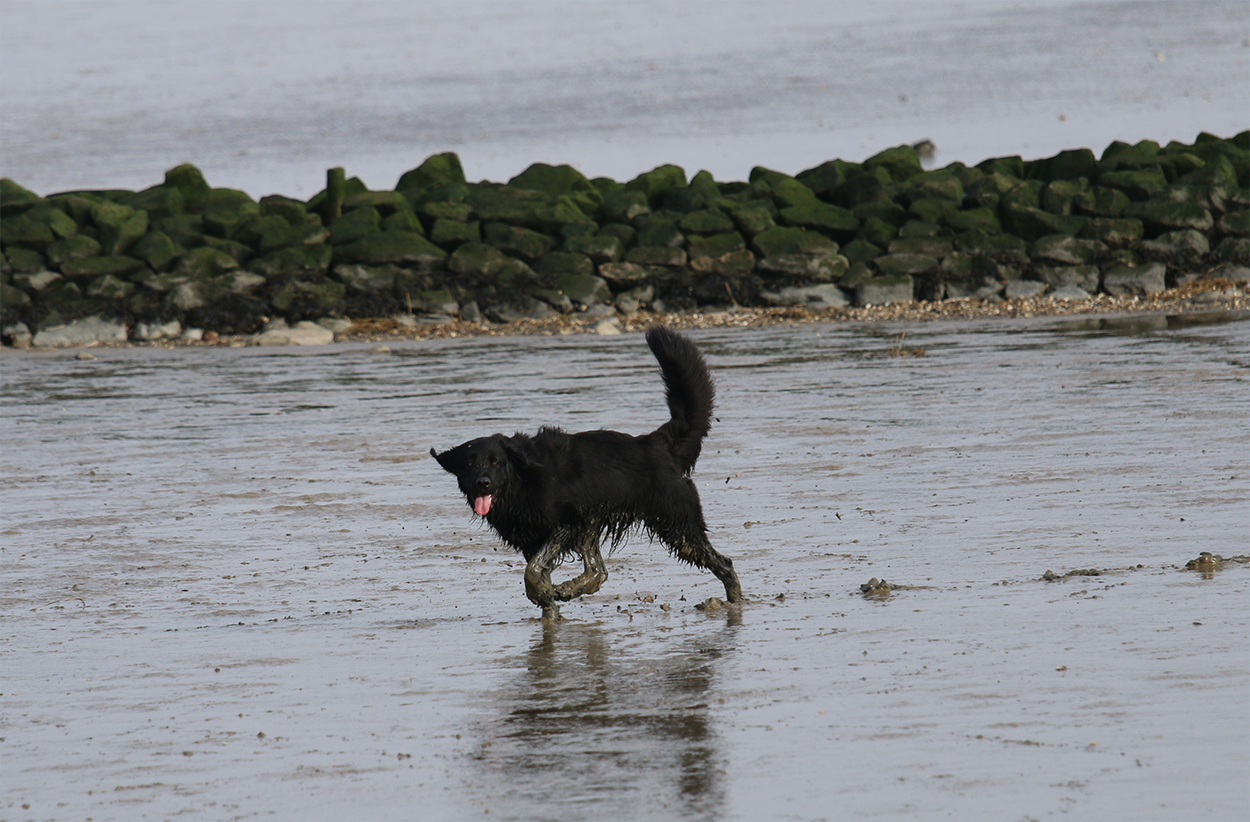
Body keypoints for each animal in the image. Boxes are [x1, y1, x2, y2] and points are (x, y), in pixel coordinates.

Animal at [430, 326, 742, 618]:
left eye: (496, 462)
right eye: (469, 464)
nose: (482, 483)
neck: (521, 480)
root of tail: (659, 442)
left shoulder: (567, 524)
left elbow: (533, 570)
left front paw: (545, 596)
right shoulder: (539, 537)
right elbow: (540, 572)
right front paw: (549, 605)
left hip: (677, 525)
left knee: (722, 562)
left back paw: (735, 599)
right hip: (599, 520)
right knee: (599, 570)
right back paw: (571, 588)